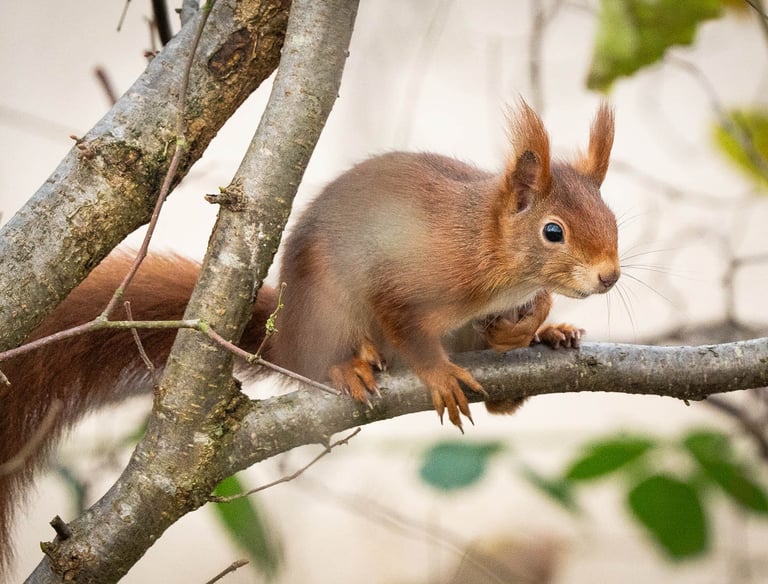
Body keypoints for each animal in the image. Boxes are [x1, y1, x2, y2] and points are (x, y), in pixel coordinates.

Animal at [0, 101, 618, 576]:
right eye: (553, 232)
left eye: (612, 220)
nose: (609, 276)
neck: (486, 248)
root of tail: (284, 333)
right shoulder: (403, 277)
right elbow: (406, 327)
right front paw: (439, 374)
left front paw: (539, 319)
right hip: (328, 306)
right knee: (337, 352)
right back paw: (350, 366)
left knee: (503, 396)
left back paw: (545, 338)